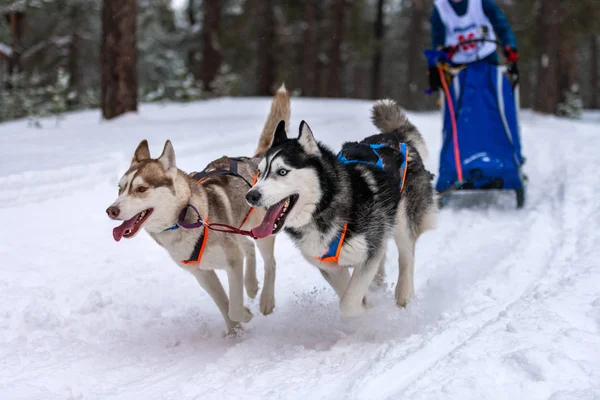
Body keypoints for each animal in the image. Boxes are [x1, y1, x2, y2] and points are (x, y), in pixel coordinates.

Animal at [106, 85, 290, 334]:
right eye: (120, 188)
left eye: (141, 189)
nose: (111, 211)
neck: (183, 217)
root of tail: (254, 161)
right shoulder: (202, 273)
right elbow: (224, 304)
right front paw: (234, 332)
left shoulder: (232, 262)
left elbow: (233, 306)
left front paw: (245, 315)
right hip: (237, 228)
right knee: (248, 247)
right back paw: (251, 285)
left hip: (262, 229)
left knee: (269, 262)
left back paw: (265, 300)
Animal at [244, 99, 436, 316]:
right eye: (260, 173)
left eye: (282, 171)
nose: (251, 195)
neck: (323, 207)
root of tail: (394, 138)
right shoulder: (331, 267)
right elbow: (347, 291)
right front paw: (366, 305)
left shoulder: (368, 255)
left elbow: (348, 304)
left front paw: (367, 313)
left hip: (402, 220)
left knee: (406, 256)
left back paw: (403, 296)